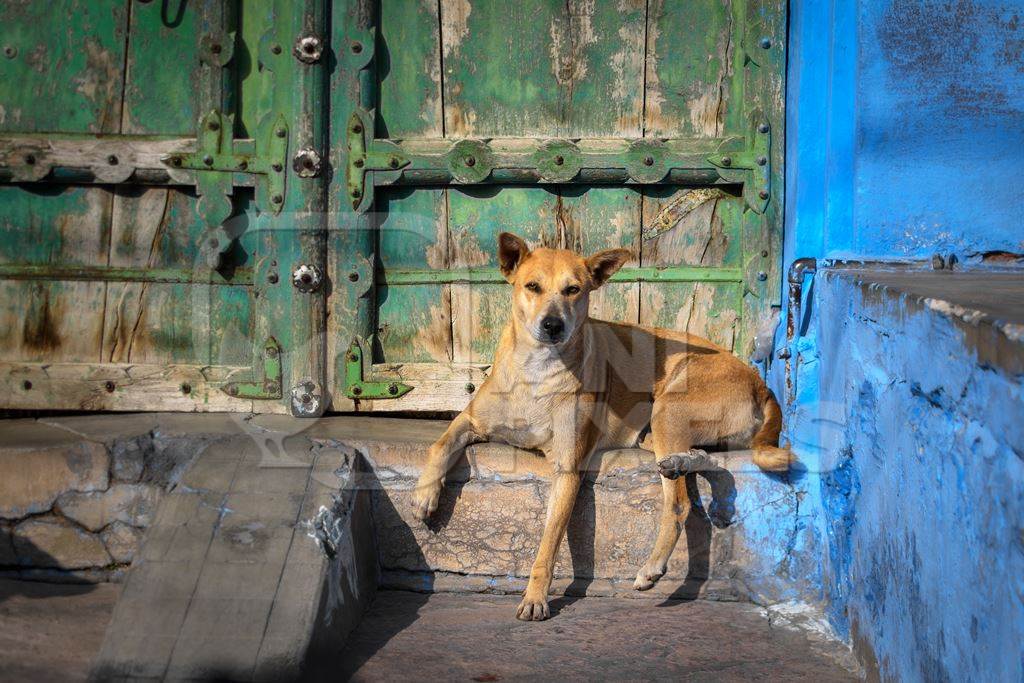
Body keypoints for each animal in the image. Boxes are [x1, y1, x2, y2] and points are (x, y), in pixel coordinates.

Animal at [409, 232, 790, 622]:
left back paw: (652, 566)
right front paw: (425, 495)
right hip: (654, 434)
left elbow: (549, 541)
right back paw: (682, 462)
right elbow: (440, 444)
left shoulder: (567, 467)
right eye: (532, 286)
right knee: (708, 462)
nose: (552, 325)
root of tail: (760, 382)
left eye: (573, 289)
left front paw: (535, 596)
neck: (536, 371)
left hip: (669, 409)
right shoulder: (470, 419)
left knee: (679, 504)